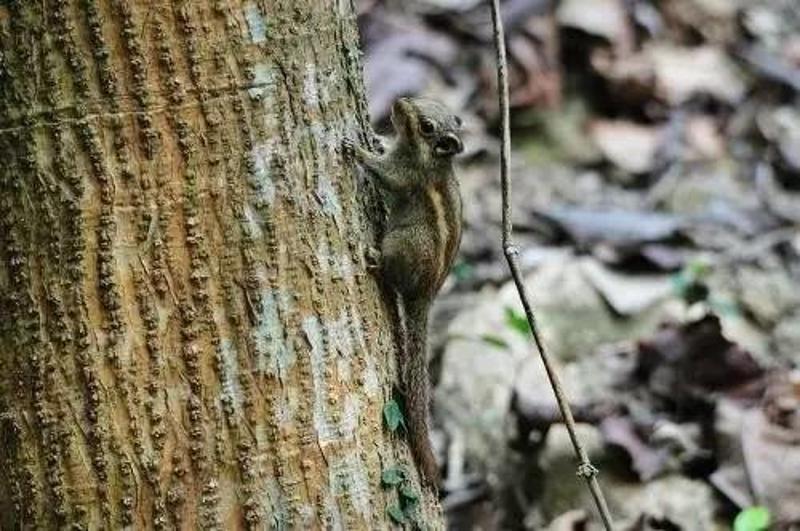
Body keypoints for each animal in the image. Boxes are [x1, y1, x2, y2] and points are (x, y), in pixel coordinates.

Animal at [342, 96, 466, 490]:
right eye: (429, 101)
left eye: (426, 126)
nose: (399, 101)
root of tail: (426, 295)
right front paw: (376, 139)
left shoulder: (406, 174)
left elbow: (386, 175)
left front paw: (359, 151)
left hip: (403, 241)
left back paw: (376, 260)